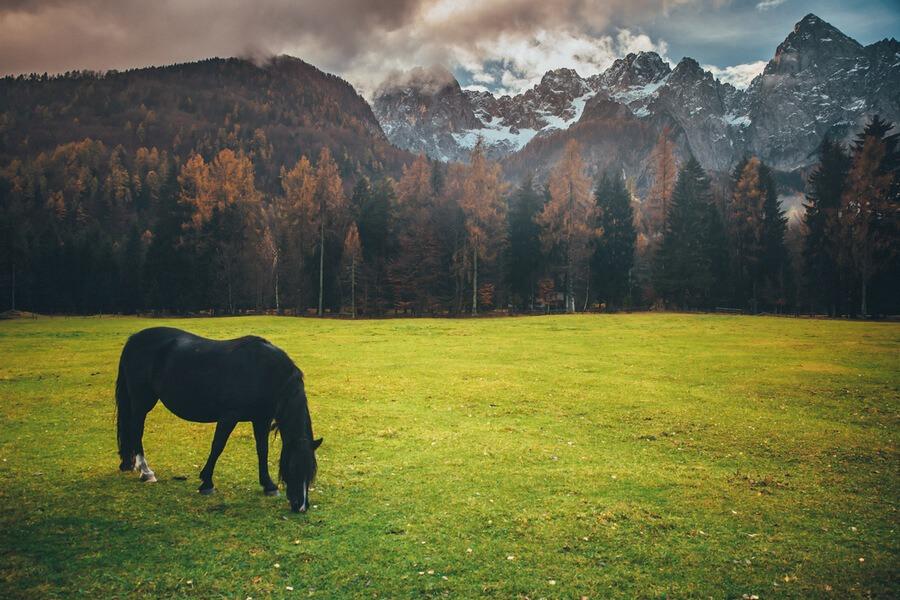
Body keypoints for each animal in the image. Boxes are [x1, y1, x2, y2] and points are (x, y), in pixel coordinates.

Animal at [114, 326, 322, 512]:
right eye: (293, 467)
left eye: (311, 472)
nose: (301, 506)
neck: (263, 371)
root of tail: (134, 338)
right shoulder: (229, 417)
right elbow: (217, 447)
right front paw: (206, 482)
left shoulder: (261, 419)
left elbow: (262, 450)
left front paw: (268, 485)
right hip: (142, 400)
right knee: (136, 430)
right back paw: (146, 472)